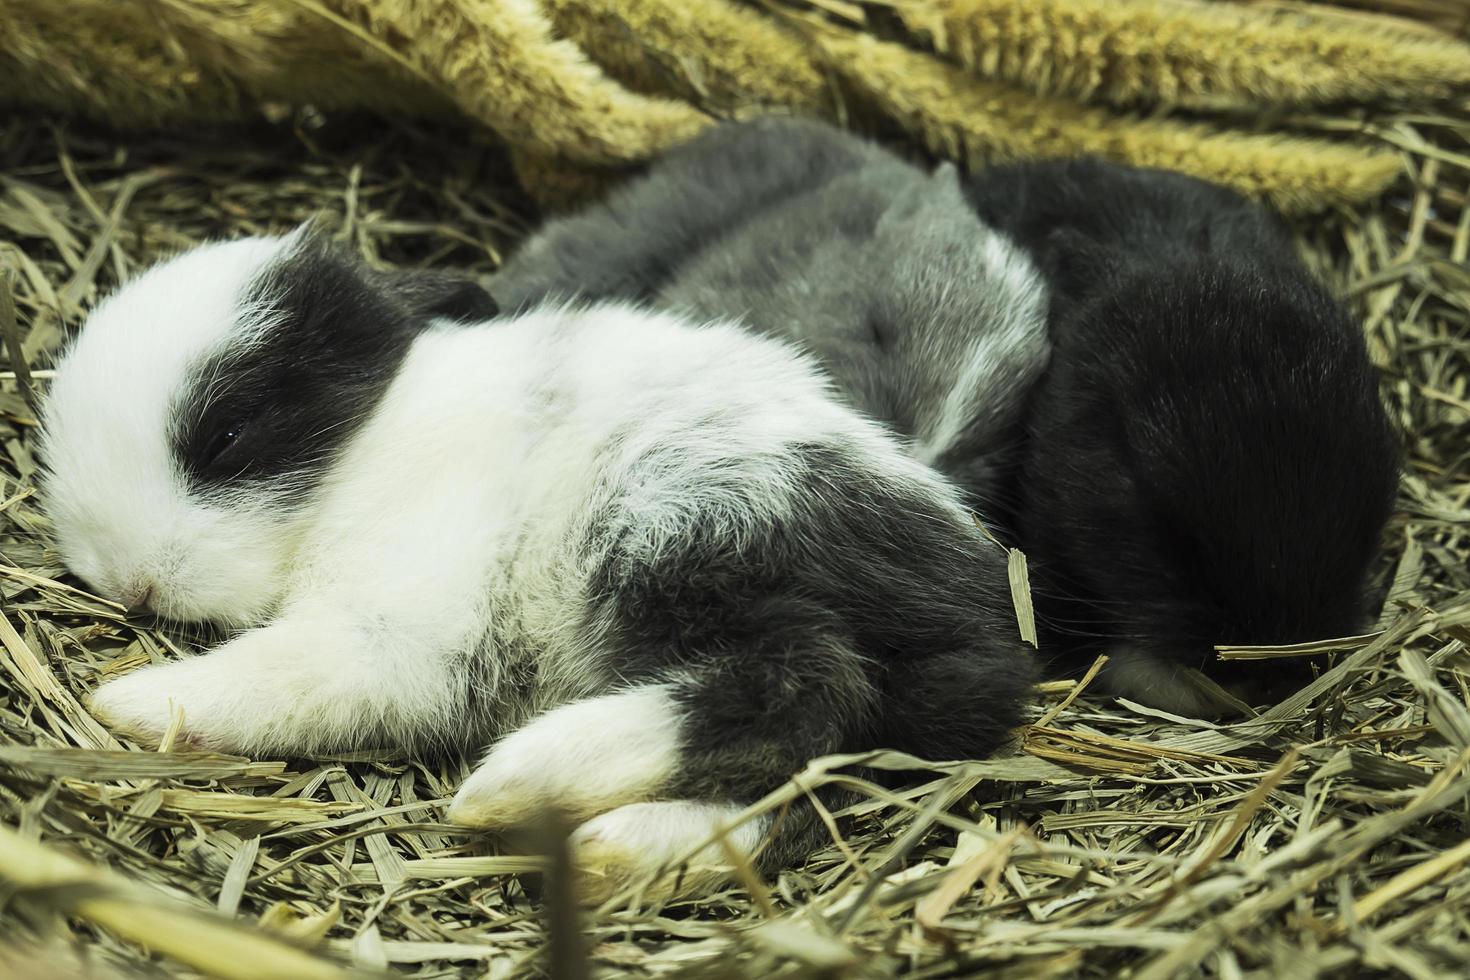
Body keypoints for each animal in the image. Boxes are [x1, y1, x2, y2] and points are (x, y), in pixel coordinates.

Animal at [40, 226, 1040, 899]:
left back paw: (517, 784)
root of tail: (987, 635)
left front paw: (131, 704)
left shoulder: (388, 627)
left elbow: (274, 675)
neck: (364, 450)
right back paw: (610, 848)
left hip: (690, 530)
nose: (130, 582)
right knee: (800, 788)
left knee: (802, 683)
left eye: (227, 435)